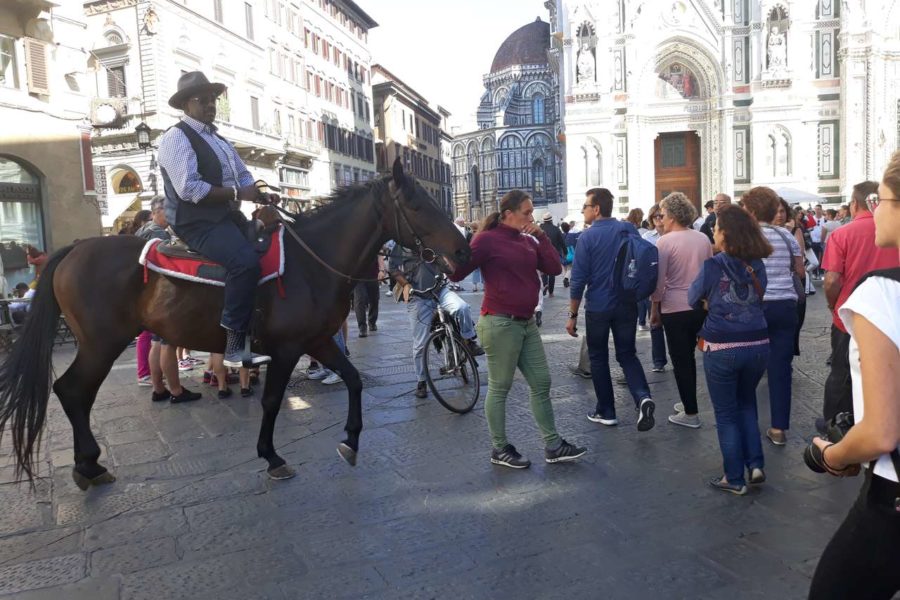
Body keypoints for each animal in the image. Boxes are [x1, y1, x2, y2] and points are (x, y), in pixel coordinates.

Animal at [0, 159, 474, 488]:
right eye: (417, 204)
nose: (463, 251)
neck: (312, 262)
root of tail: (74, 248)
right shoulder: (286, 348)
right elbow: (272, 401)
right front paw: (271, 456)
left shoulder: (319, 340)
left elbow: (354, 380)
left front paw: (351, 442)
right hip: (103, 343)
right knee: (72, 390)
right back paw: (88, 464)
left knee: (73, 392)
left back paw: (89, 464)